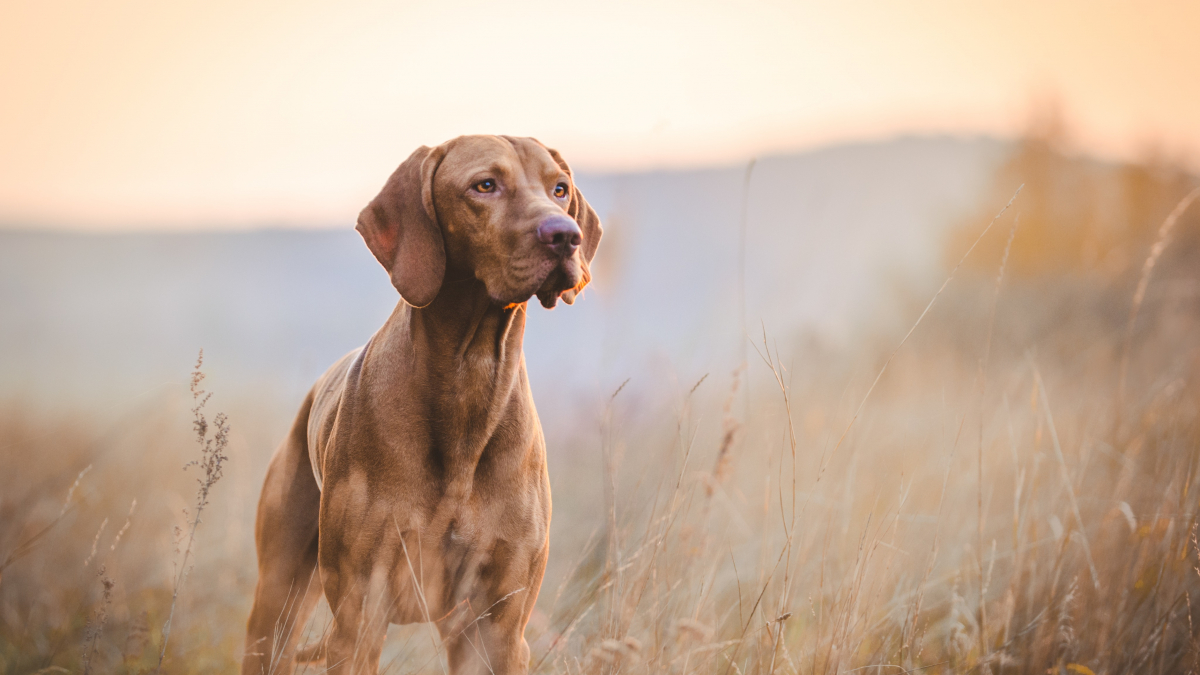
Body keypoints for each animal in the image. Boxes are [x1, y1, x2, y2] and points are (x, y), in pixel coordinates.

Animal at [242, 136, 600, 672]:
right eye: (485, 185)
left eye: (559, 189)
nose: (566, 236)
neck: (470, 378)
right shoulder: (360, 616)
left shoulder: (498, 627)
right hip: (277, 605)